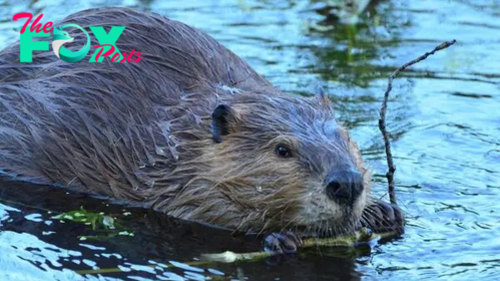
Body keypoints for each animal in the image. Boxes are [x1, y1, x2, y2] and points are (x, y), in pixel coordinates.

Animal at [0, 7, 402, 252]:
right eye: (282, 150)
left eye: (346, 139)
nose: (346, 184)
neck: (181, 139)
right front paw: (284, 238)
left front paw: (382, 212)